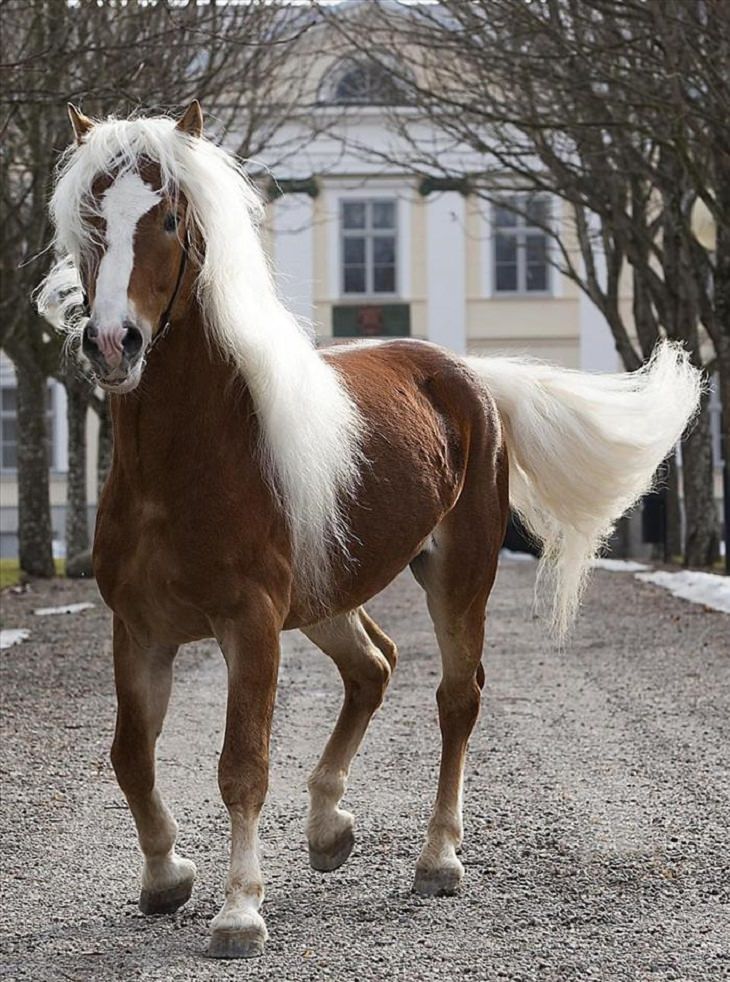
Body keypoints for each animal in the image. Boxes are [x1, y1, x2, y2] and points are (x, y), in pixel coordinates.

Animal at [38, 102, 700, 960]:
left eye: (170, 218)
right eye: (92, 217)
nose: (114, 344)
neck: (183, 462)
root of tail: (472, 377)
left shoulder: (250, 623)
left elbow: (242, 764)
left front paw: (239, 913)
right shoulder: (140, 628)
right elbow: (131, 757)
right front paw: (165, 876)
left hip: (456, 577)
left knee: (456, 697)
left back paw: (437, 858)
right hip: (326, 597)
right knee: (373, 668)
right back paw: (329, 829)